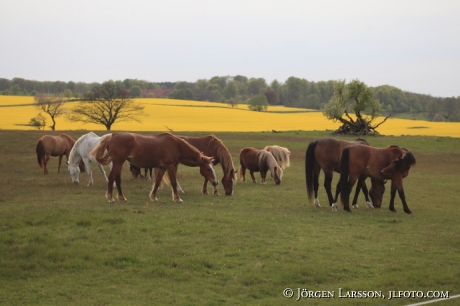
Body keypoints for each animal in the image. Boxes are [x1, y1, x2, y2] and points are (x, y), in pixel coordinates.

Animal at [91, 132, 219, 202]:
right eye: (208, 169)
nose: (216, 182)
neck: (176, 145)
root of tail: (113, 135)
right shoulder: (170, 166)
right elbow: (173, 182)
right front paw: (177, 198)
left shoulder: (162, 168)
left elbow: (157, 182)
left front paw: (153, 197)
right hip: (118, 162)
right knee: (112, 178)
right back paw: (110, 198)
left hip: (119, 163)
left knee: (117, 179)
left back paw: (122, 198)